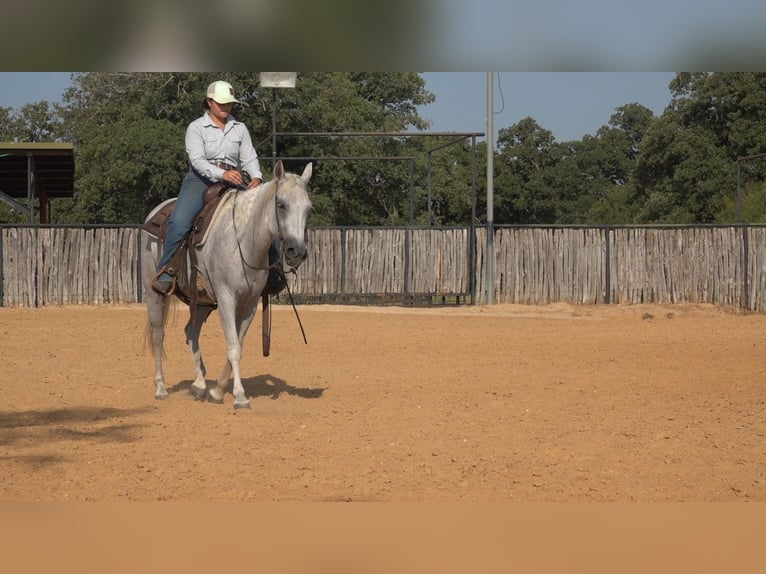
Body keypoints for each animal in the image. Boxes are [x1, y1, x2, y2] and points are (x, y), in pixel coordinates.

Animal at [141, 160, 312, 408]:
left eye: (309, 208)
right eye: (281, 205)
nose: (296, 251)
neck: (242, 240)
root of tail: (155, 213)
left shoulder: (250, 304)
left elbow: (238, 346)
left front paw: (218, 390)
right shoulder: (226, 299)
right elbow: (233, 348)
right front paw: (239, 396)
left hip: (202, 302)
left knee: (191, 331)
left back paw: (199, 385)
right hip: (153, 292)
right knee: (158, 334)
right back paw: (161, 387)